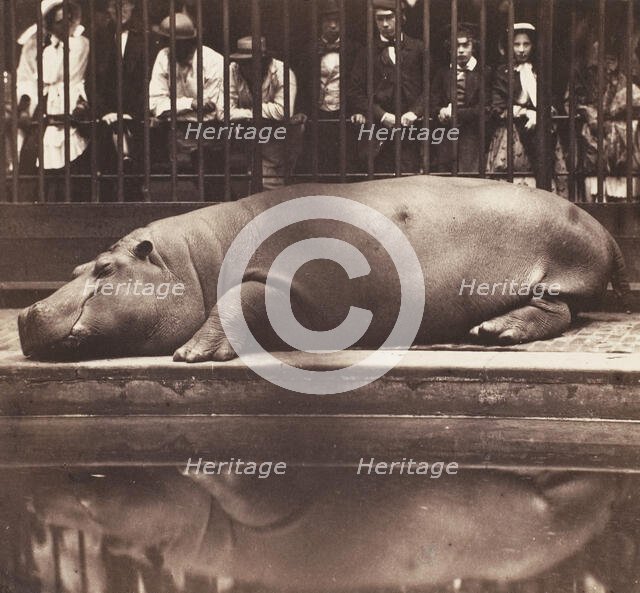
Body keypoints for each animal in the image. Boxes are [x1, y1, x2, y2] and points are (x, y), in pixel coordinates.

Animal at [18, 176, 629, 361]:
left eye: (104, 268)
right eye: (76, 264)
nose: (24, 312)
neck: (192, 259)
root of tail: (605, 230)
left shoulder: (287, 281)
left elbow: (238, 299)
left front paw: (192, 353)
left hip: (557, 274)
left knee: (558, 310)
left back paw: (493, 332)